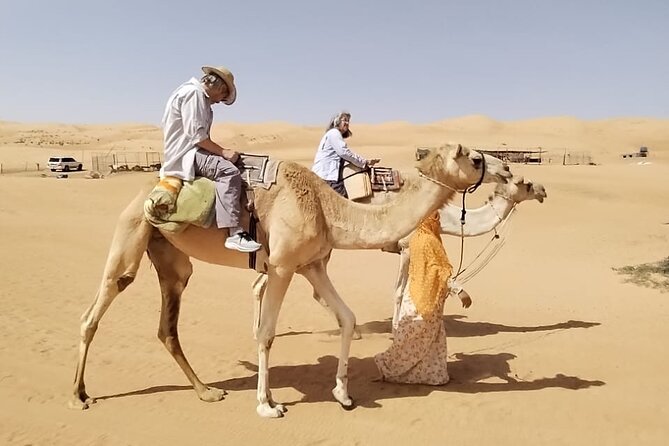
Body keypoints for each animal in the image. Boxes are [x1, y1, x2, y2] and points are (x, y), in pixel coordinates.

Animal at [70, 144, 512, 418]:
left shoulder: (312, 265)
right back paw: (79, 395)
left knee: (168, 324)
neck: (328, 207)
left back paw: (207, 391)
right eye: (473, 157)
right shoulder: (282, 266)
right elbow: (267, 334)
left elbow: (347, 318)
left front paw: (343, 394)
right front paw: (268, 405)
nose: (508, 168)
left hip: (171, 257)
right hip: (132, 231)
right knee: (97, 307)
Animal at [251, 176, 547, 338]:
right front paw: (395, 329)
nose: (543, 190)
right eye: (526, 183)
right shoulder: (406, 246)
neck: (446, 216)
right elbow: (399, 290)